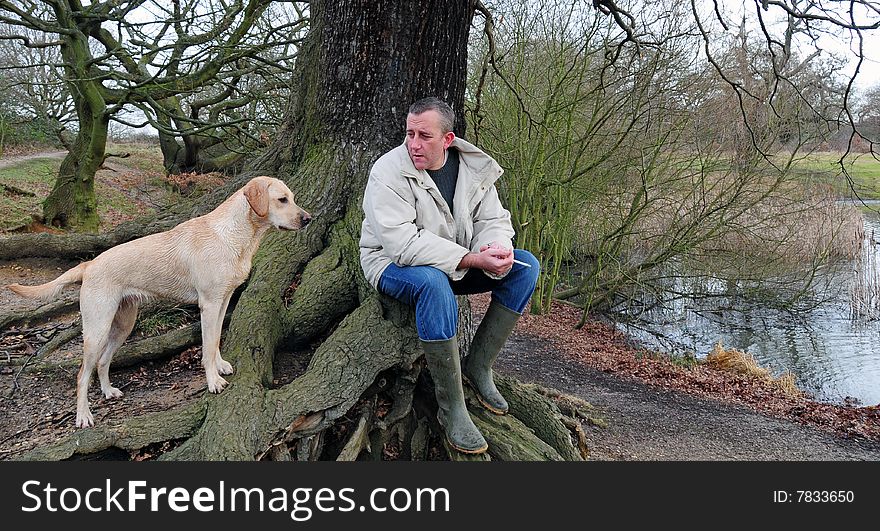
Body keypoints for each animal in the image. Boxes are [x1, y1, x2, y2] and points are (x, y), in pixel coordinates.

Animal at [5, 177, 310, 430]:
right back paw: (83, 416)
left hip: (123, 325)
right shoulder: (209, 305)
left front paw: (220, 366)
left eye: (293, 198)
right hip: (97, 329)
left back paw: (108, 391)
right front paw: (213, 381)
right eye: (282, 199)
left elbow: (215, 342)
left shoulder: (223, 302)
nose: (308, 219)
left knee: (103, 362)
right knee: (82, 374)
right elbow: (207, 346)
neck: (233, 235)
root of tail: (89, 264)